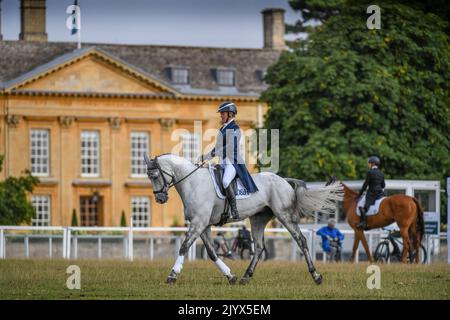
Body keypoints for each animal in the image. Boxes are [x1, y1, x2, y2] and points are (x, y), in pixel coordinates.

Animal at [144, 154, 342, 284]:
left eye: (155, 175)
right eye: (148, 176)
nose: (160, 198)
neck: (193, 183)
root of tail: (284, 180)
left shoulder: (199, 223)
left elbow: (184, 246)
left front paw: (172, 274)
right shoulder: (203, 225)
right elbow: (212, 252)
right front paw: (230, 276)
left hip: (285, 215)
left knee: (300, 240)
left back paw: (316, 276)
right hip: (258, 219)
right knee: (260, 247)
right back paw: (246, 276)